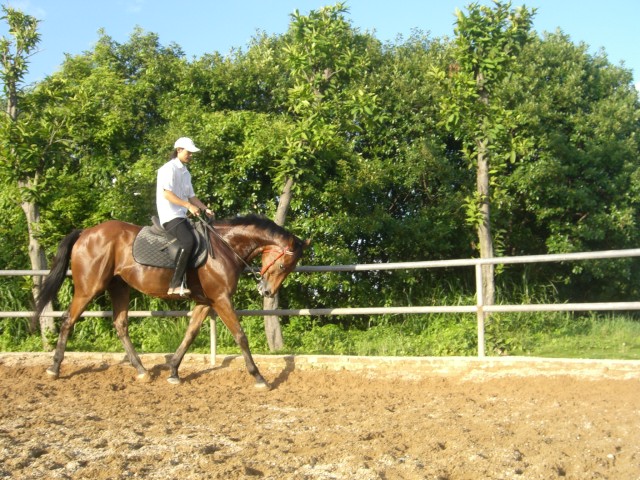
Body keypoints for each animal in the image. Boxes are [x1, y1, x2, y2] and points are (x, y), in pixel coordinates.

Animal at [32, 216, 310, 388]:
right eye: (283, 265)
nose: (268, 291)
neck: (225, 247)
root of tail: (87, 232)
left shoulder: (206, 302)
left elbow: (190, 334)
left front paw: (174, 371)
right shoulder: (221, 299)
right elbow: (240, 335)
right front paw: (259, 377)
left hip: (119, 287)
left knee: (120, 325)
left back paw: (142, 371)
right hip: (89, 287)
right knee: (68, 320)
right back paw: (54, 368)